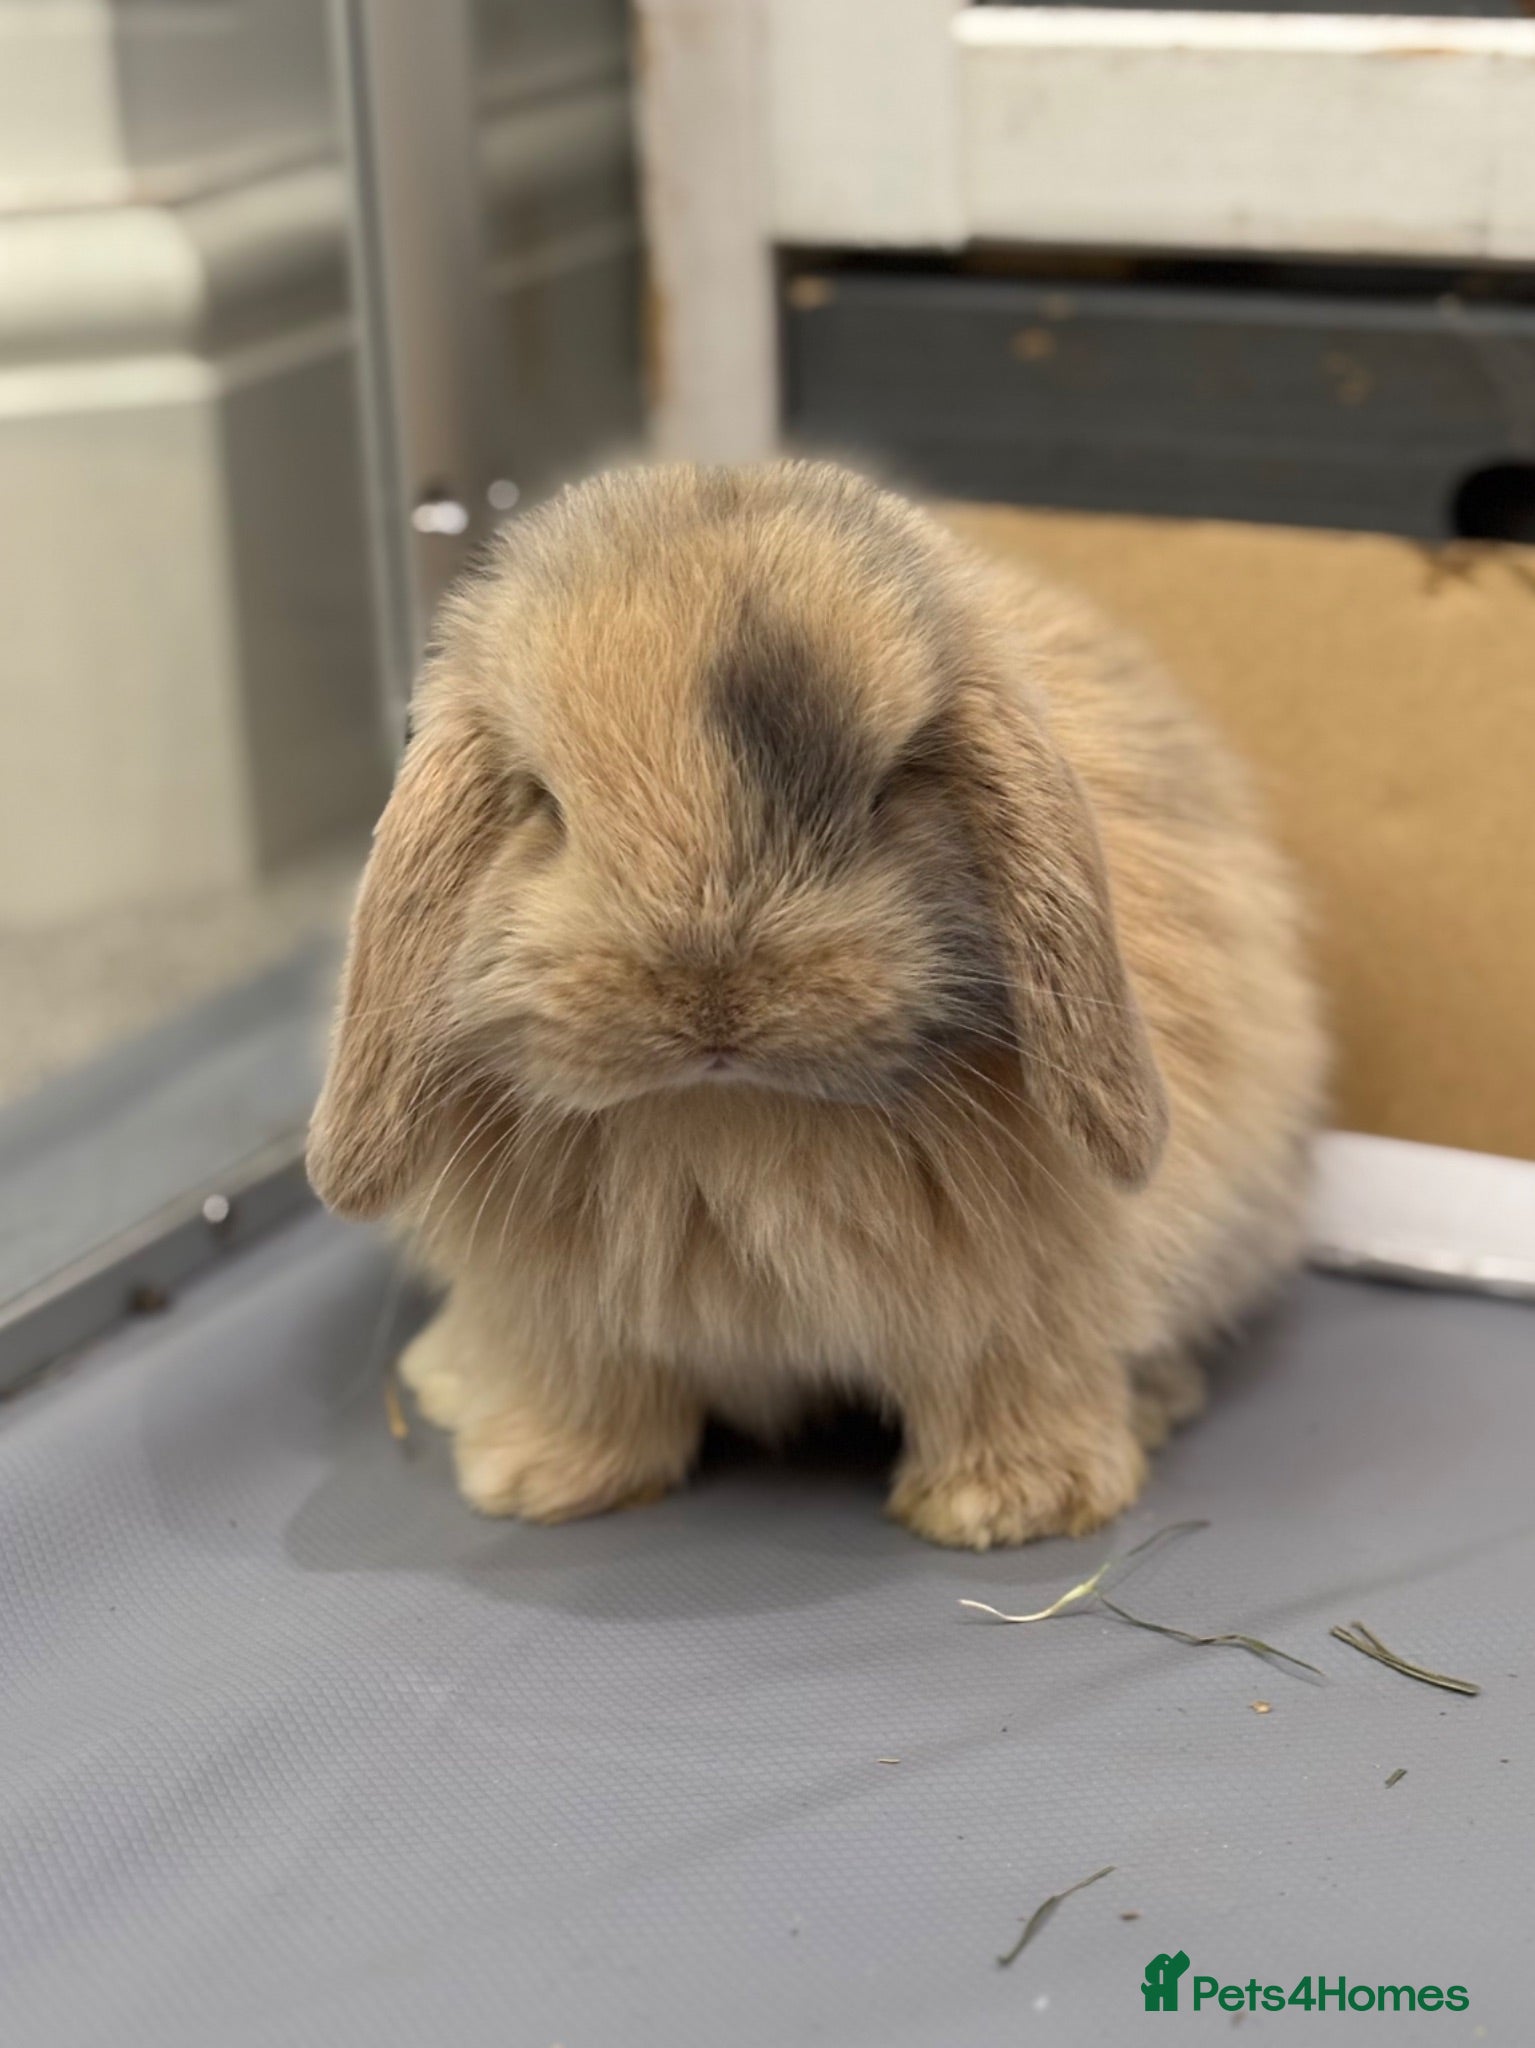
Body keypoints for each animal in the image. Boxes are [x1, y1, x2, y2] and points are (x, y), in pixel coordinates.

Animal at [308, 460, 1325, 1549]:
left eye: (887, 789)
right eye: (544, 803)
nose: (713, 997)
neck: (732, 1118)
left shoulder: (1029, 1310)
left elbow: (1011, 1379)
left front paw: (1009, 1506)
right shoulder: (571, 1324)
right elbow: (599, 1394)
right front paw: (539, 1480)